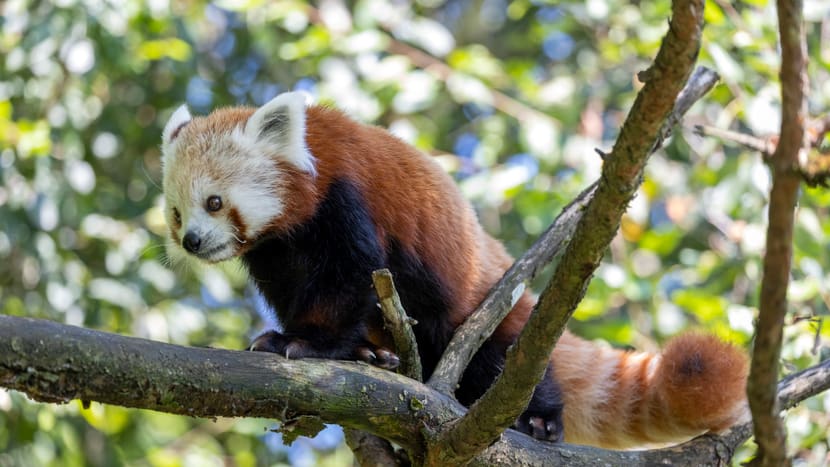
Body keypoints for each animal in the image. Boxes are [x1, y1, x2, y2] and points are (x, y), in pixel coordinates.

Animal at [162, 92, 752, 450]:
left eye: (214, 202)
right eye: (176, 213)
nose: (192, 241)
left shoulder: (345, 201)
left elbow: (348, 279)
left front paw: (306, 344)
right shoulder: (277, 254)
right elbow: (297, 292)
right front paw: (342, 349)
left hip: (486, 308)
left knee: (505, 357)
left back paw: (539, 417)